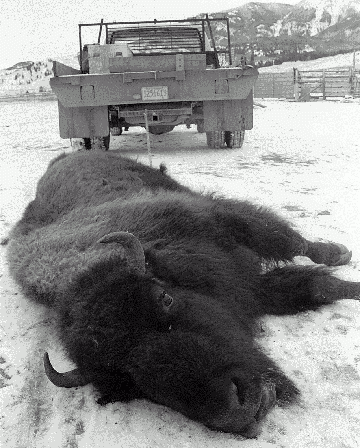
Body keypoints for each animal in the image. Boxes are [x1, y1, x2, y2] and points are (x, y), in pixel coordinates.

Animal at [7, 150, 358, 438]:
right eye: (127, 378)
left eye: (164, 298)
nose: (239, 410)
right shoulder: (248, 289)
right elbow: (312, 287)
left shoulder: (224, 225)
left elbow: (296, 254)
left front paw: (341, 264)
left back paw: (338, 252)